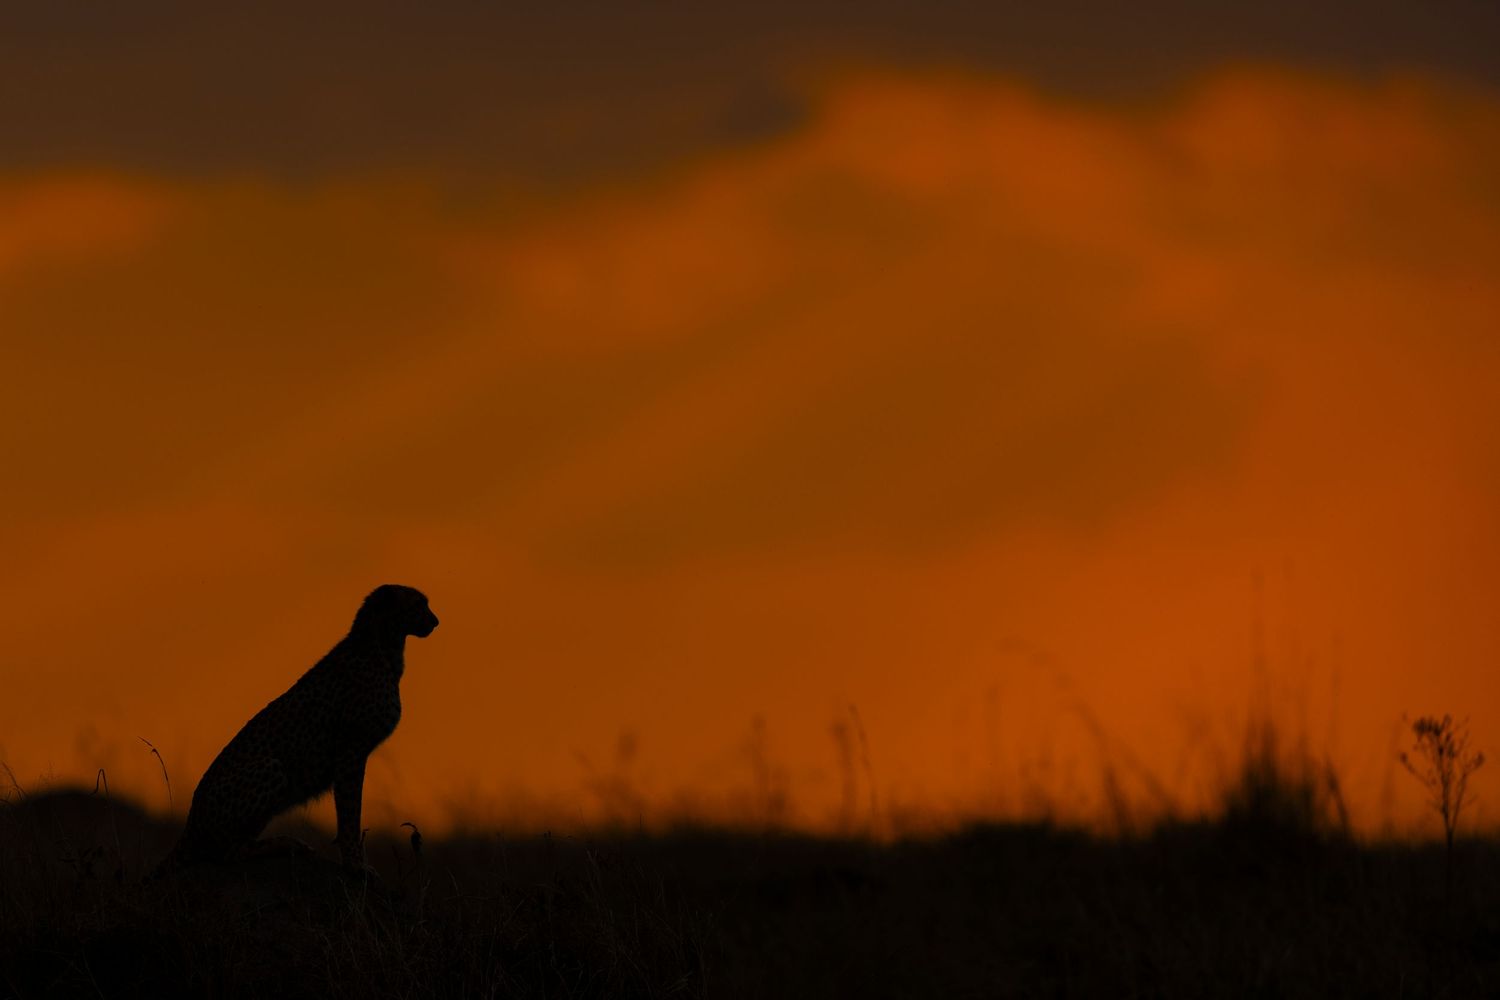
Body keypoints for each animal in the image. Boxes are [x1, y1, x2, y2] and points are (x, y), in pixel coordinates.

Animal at [154, 584, 439, 876]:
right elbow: (349, 814)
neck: (383, 646)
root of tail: (189, 824)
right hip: (272, 767)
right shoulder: (350, 751)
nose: (435, 621)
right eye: (418, 604)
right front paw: (355, 864)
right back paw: (286, 843)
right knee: (227, 853)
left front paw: (356, 861)